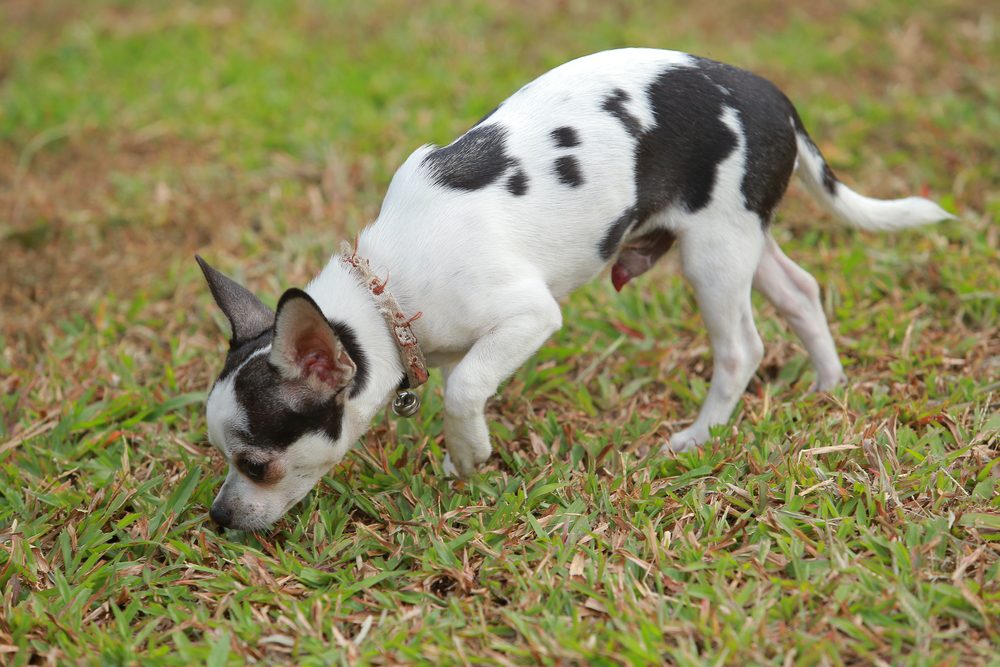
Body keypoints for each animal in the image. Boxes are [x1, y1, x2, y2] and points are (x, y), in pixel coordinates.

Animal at [197, 48, 952, 532]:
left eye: (257, 464)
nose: (219, 517)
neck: (387, 295)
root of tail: (776, 98)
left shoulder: (529, 317)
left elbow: (464, 386)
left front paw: (468, 454)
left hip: (715, 251)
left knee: (742, 345)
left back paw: (698, 437)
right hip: (746, 238)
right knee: (801, 291)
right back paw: (829, 386)